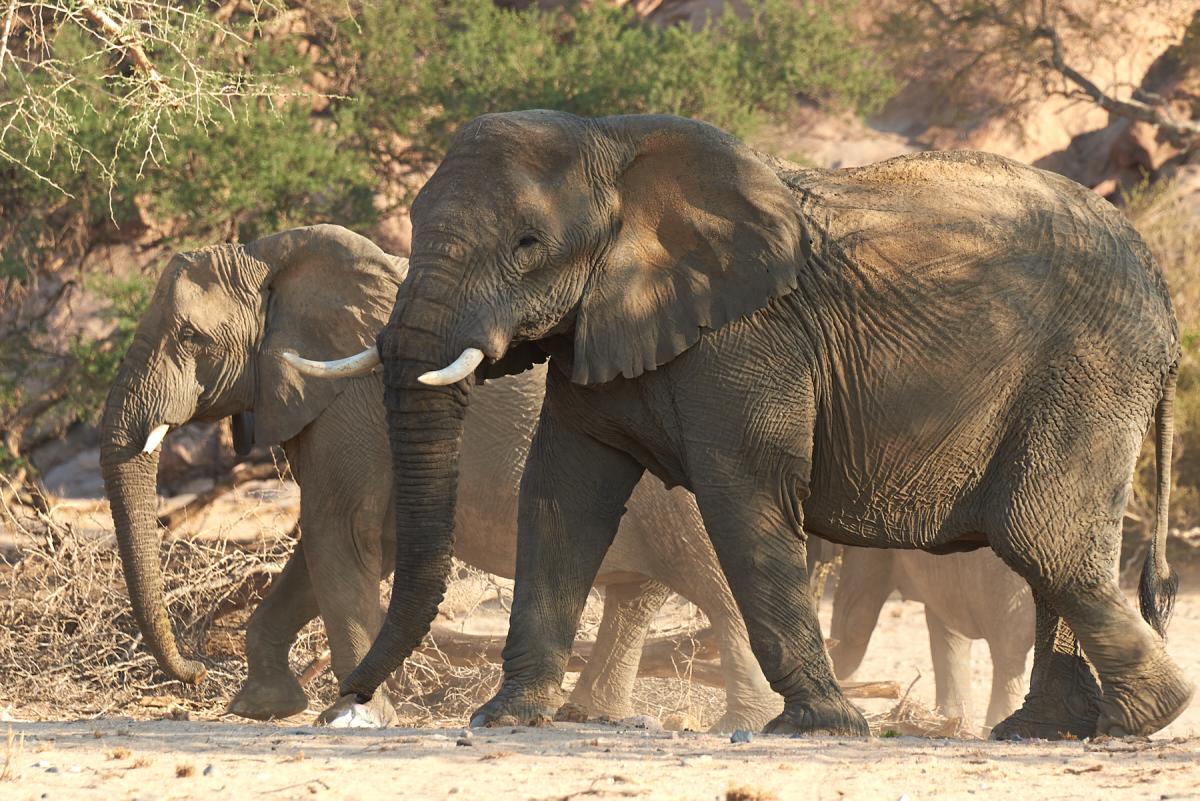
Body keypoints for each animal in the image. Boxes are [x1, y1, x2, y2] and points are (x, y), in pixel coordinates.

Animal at [98, 224, 778, 729]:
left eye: (191, 337)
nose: (194, 672)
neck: (272, 259)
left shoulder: (350, 407)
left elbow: (338, 535)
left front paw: (353, 717)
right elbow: (336, 552)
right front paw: (262, 708)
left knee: (710, 577)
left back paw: (746, 721)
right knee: (641, 591)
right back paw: (591, 716)